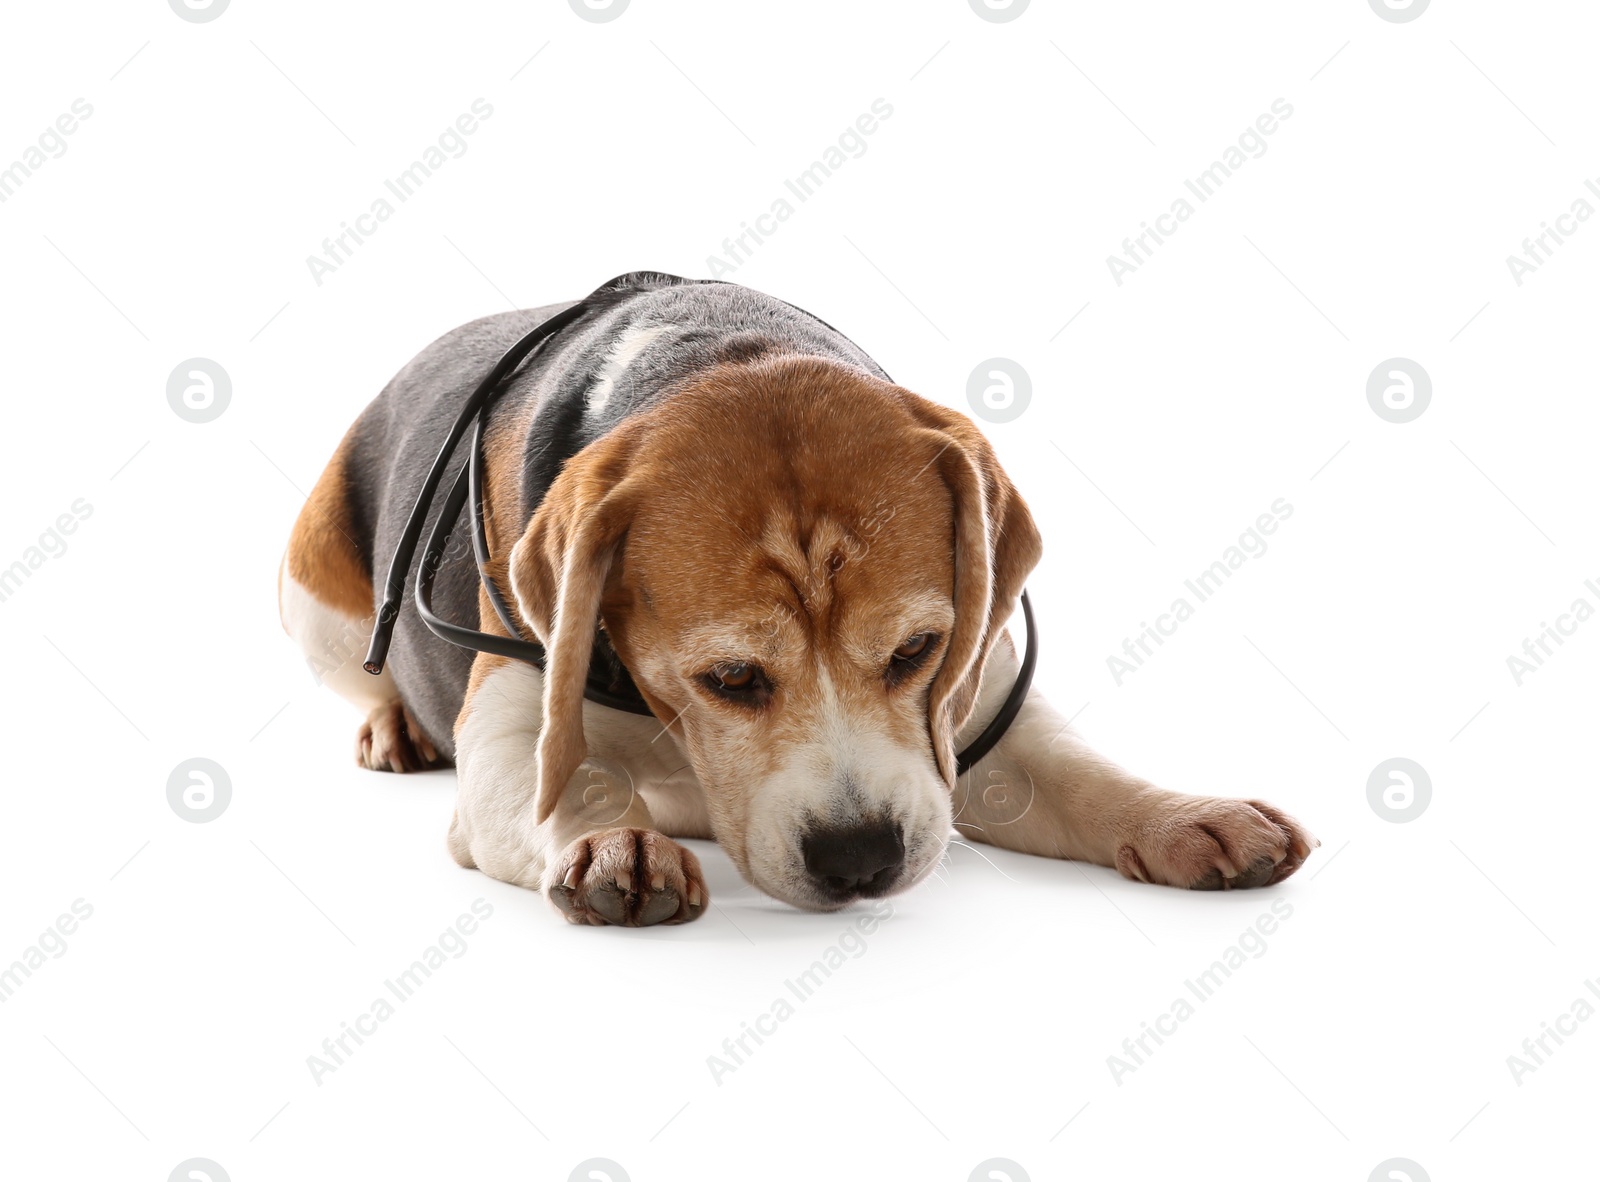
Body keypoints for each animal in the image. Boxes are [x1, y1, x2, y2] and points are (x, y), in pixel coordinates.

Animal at [281, 275, 1318, 927]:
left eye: (915, 653)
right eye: (730, 678)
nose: (860, 861)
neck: (723, 352)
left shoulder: (977, 705)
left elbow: (1076, 774)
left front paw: (1184, 817)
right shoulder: (510, 726)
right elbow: (573, 780)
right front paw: (613, 844)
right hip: (312, 599)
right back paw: (394, 728)